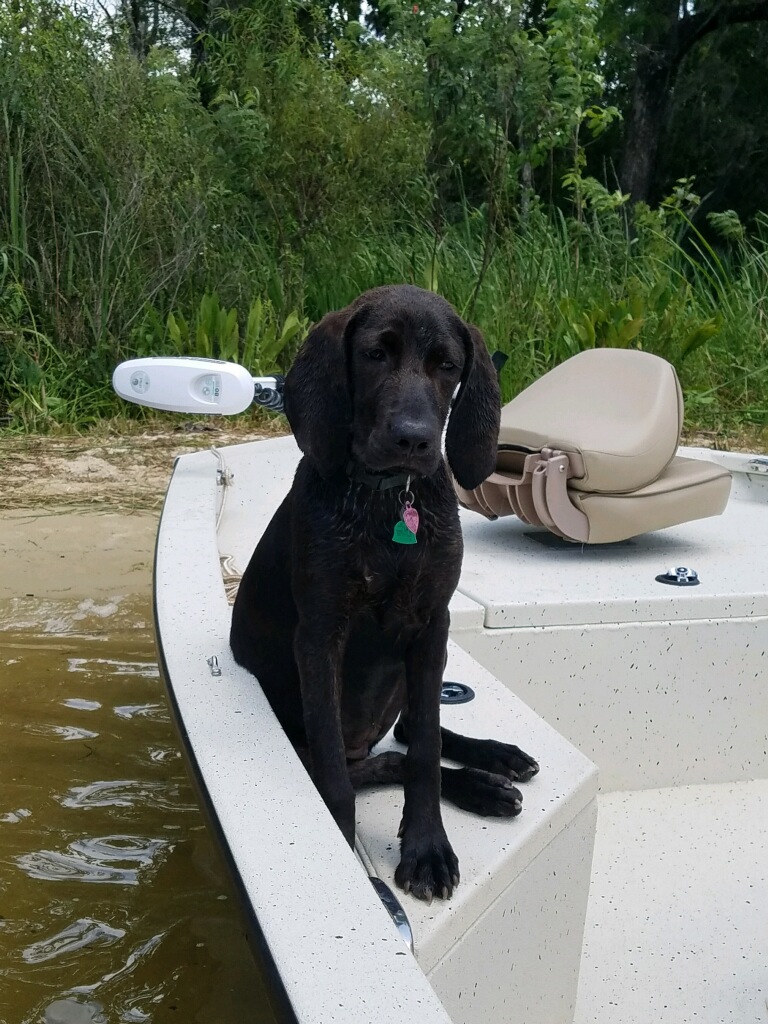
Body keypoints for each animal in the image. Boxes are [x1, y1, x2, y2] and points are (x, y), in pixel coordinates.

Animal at [231, 284, 536, 901]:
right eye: (374, 355)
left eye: (448, 366)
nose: (413, 439)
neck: (390, 501)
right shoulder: (321, 635)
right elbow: (337, 777)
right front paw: (348, 861)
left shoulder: (433, 624)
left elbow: (423, 752)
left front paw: (426, 847)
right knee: (369, 761)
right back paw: (479, 783)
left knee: (412, 736)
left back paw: (491, 767)